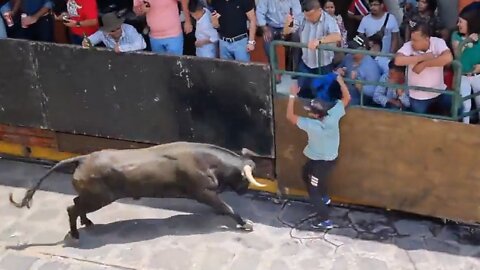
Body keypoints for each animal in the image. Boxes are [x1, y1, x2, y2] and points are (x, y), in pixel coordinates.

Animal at [8, 141, 266, 238]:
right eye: (247, 179)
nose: (245, 191)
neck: (209, 162)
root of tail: (83, 159)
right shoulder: (202, 192)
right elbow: (227, 207)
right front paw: (245, 223)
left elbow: (222, 206)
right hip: (100, 197)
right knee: (72, 207)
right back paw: (76, 233)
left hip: (92, 196)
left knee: (76, 203)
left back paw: (87, 223)